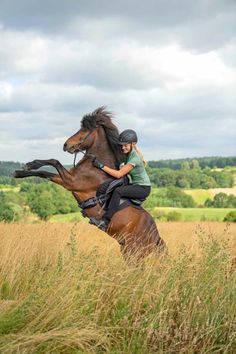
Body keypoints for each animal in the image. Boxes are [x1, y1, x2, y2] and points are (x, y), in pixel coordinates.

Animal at [13, 106, 165, 258]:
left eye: (85, 130)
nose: (66, 145)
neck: (95, 167)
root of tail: (156, 237)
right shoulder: (68, 179)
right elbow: (46, 171)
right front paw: (26, 168)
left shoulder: (71, 181)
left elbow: (53, 163)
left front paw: (21, 170)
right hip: (126, 249)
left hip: (134, 252)